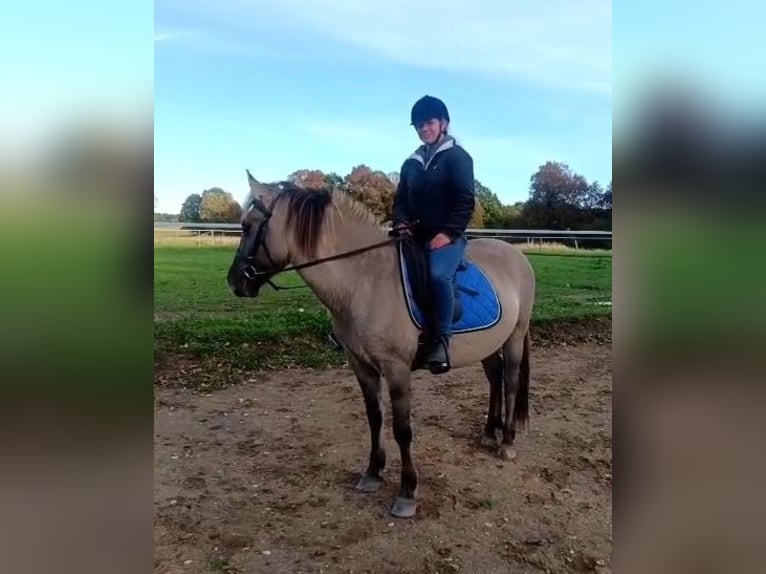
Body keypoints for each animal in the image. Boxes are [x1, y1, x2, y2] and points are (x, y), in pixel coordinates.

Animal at [227, 171, 536, 519]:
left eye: (249, 226)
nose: (234, 281)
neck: (364, 280)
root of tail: (516, 255)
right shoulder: (361, 365)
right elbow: (375, 418)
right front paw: (373, 473)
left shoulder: (396, 368)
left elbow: (402, 429)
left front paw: (407, 492)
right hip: (487, 343)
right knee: (494, 378)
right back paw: (488, 433)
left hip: (514, 337)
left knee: (510, 382)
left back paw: (506, 442)